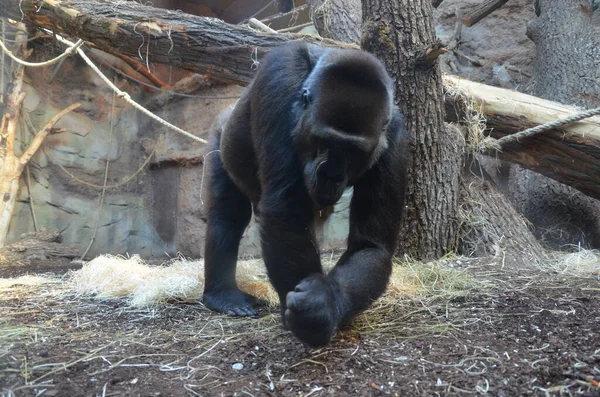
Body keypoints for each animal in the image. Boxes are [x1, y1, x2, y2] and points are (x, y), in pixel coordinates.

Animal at [202, 42, 408, 346]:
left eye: (353, 152)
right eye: (323, 142)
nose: (330, 175)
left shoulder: (395, 136)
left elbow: (370, 246)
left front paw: (324, 306)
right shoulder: (278, 76)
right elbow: (285, 210)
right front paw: (308, 320)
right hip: (219, 134)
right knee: (227, 215)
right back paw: (222, 294)